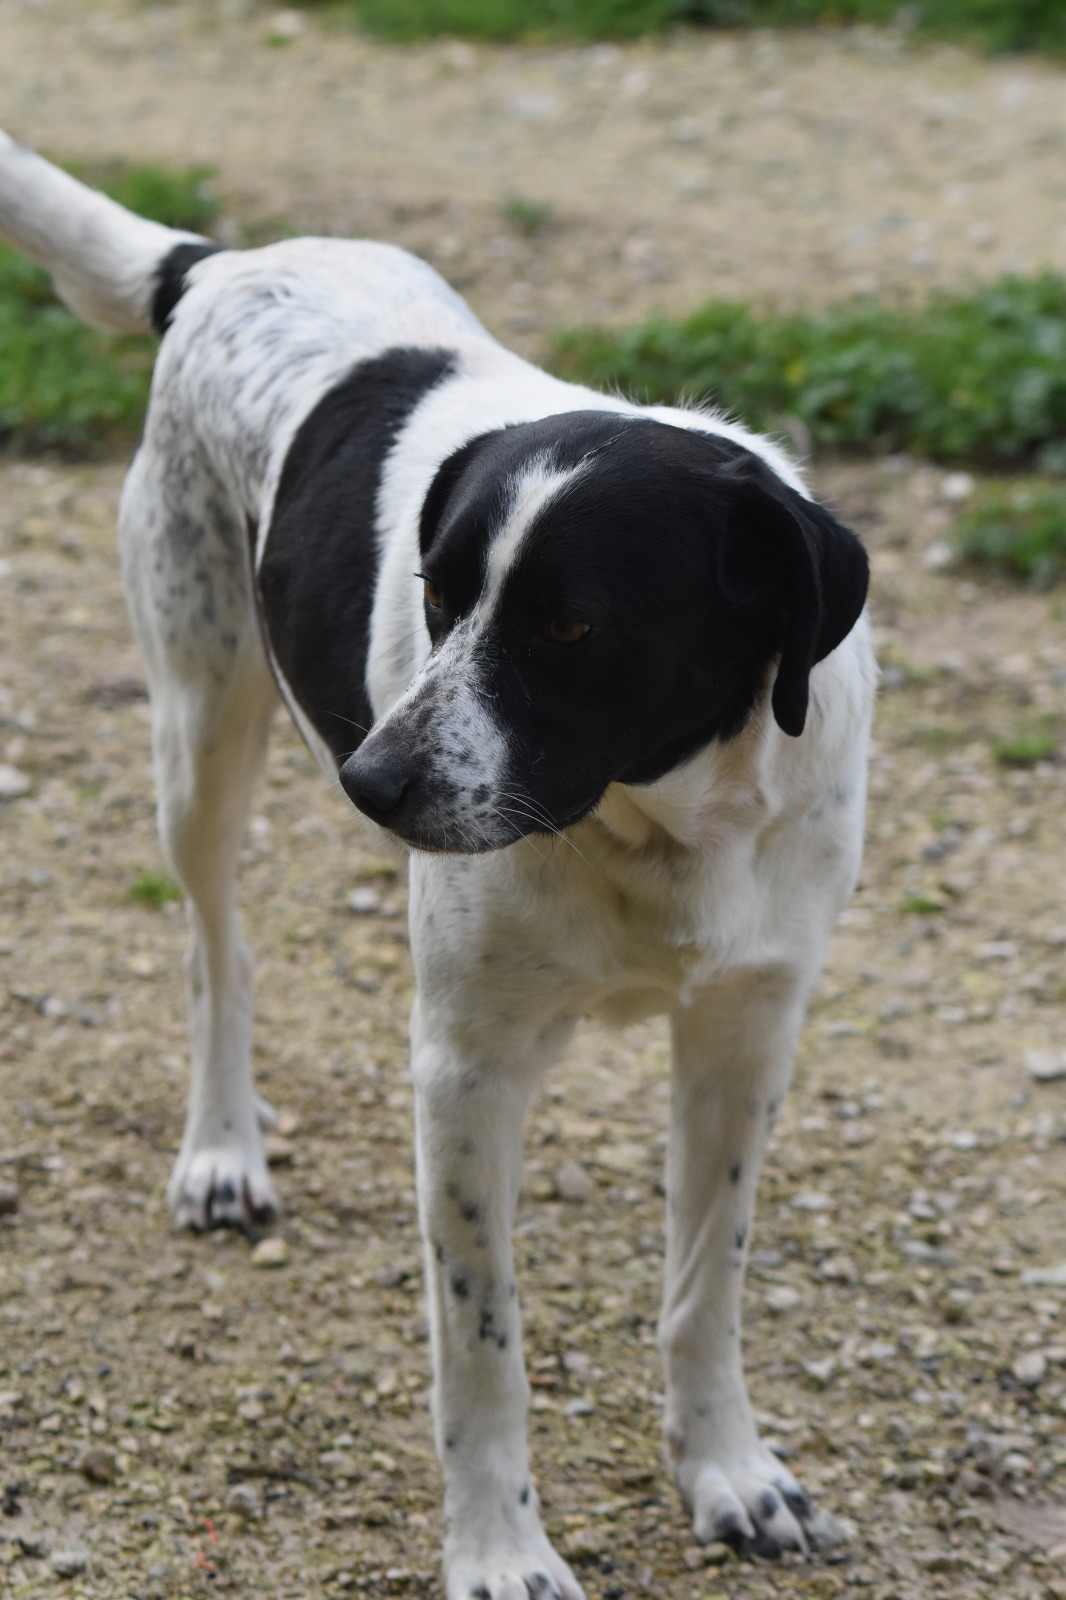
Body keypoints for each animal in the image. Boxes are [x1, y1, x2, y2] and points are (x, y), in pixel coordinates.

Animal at [0, 129, 875, 1600]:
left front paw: (727, 1470)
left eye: (573, 625)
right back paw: (222, 1146)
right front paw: (499, 1549)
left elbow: (705, 1287)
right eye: (437, 593)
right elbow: (481, 1347)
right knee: (216, 949)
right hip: (199, 728)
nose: (369, 781)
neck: (661, 823)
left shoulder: (746, 1038)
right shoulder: (467, 1070)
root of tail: (220, 263)